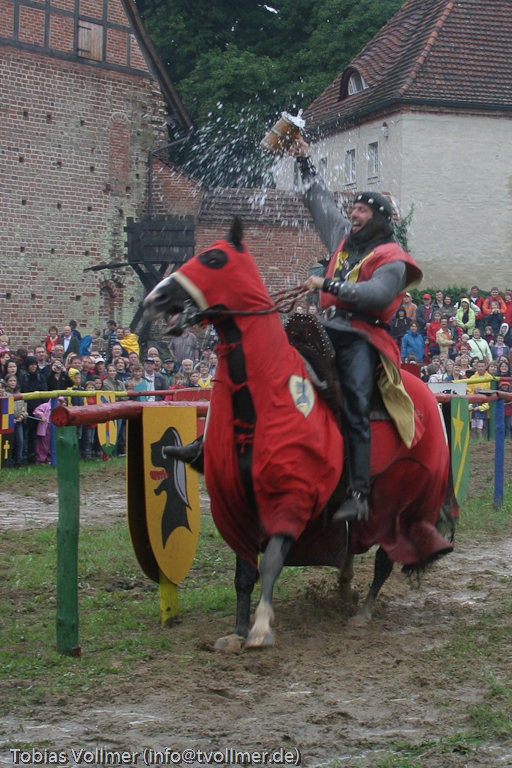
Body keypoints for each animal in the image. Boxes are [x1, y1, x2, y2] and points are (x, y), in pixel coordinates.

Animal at [144, 220, 453, 650]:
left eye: (214, 259)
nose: (156, 298)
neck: (258, 403)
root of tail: (427, 395)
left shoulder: (291, 497)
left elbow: (272, 561)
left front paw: (261, 627)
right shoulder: (237, 506)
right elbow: (244, 573)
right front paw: (237, 631)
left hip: (403, 502)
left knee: (386, 557)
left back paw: (363, 612)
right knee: (352, 545)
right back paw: (344, 587)